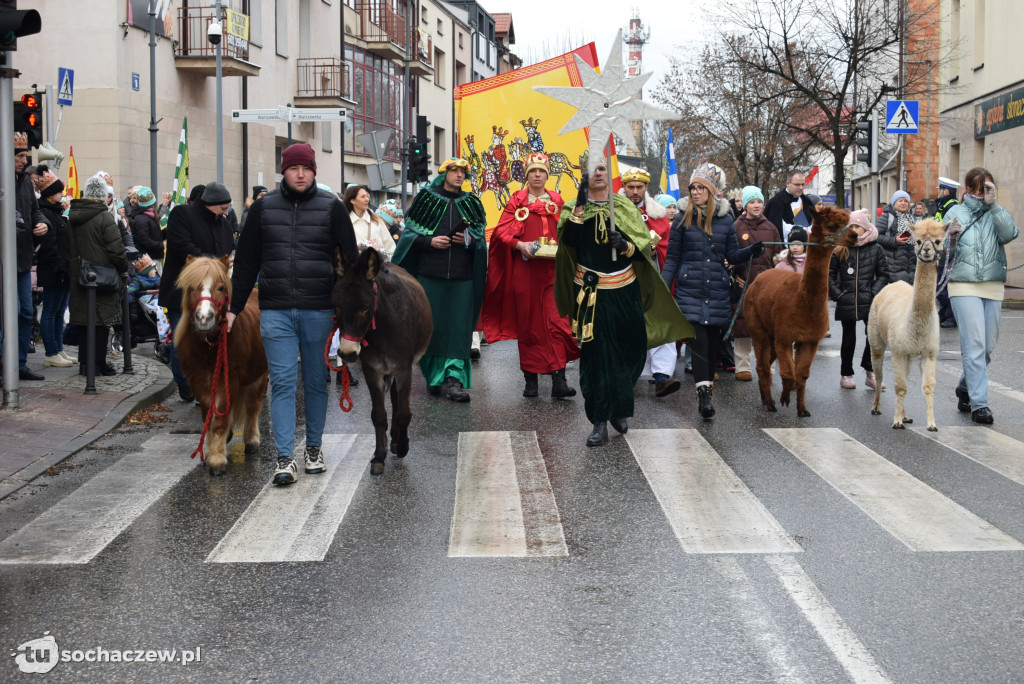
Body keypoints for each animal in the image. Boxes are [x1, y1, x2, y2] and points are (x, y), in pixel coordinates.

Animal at [178, 253, 270, 473]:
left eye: (220, 288)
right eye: (191, 287)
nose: (204, 318)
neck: (208, 346)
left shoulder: (229, 380)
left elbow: (219, 420)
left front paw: (216, 459)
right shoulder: (197, 381)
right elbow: (208, 415)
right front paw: (210, 449)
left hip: (259, 376)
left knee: (253, 407)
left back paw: (251, 441)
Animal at [331, 246, 432, 475]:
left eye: (365, 308)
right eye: (337, 306)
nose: (347, 353)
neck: (383, 327)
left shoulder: (404, 368)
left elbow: (404, 413)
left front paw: (402, 446)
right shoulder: (372, 370)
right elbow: (378, 414)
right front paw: (379, 456)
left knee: (397, 400)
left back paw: (397, 441)